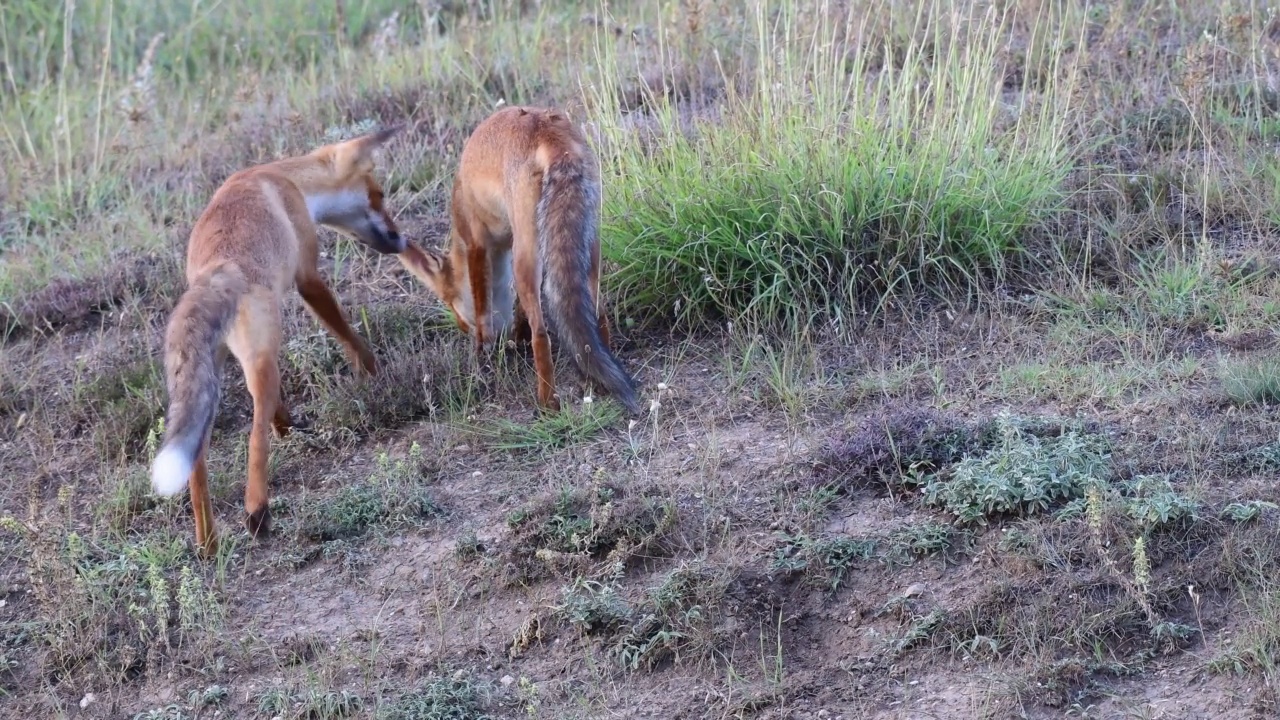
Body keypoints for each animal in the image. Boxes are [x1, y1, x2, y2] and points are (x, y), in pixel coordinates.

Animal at [152, 127, 407, 556]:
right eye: (378, 194)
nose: (401, 240)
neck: (280, 177)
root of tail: (215, 273)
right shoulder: (308, 277)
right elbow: (348, 335)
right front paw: (374, 373)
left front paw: (288, 423)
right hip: (261, 360)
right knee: (255, 431)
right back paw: (257, 511)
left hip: (217, 378)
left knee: (198, 458)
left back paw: (209, 543)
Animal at [396, 103, 640, 412]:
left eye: (449, 303)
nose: (461, 327)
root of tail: (546, 129)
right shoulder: (510, 241)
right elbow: (519, 309)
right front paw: (516, 335)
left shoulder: (477, 242)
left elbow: (482, 308)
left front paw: (483, 354)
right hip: (587, 246)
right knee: (597, 315)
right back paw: (597, 381)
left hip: (527, 255)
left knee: (542, 334)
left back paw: (547, 402)